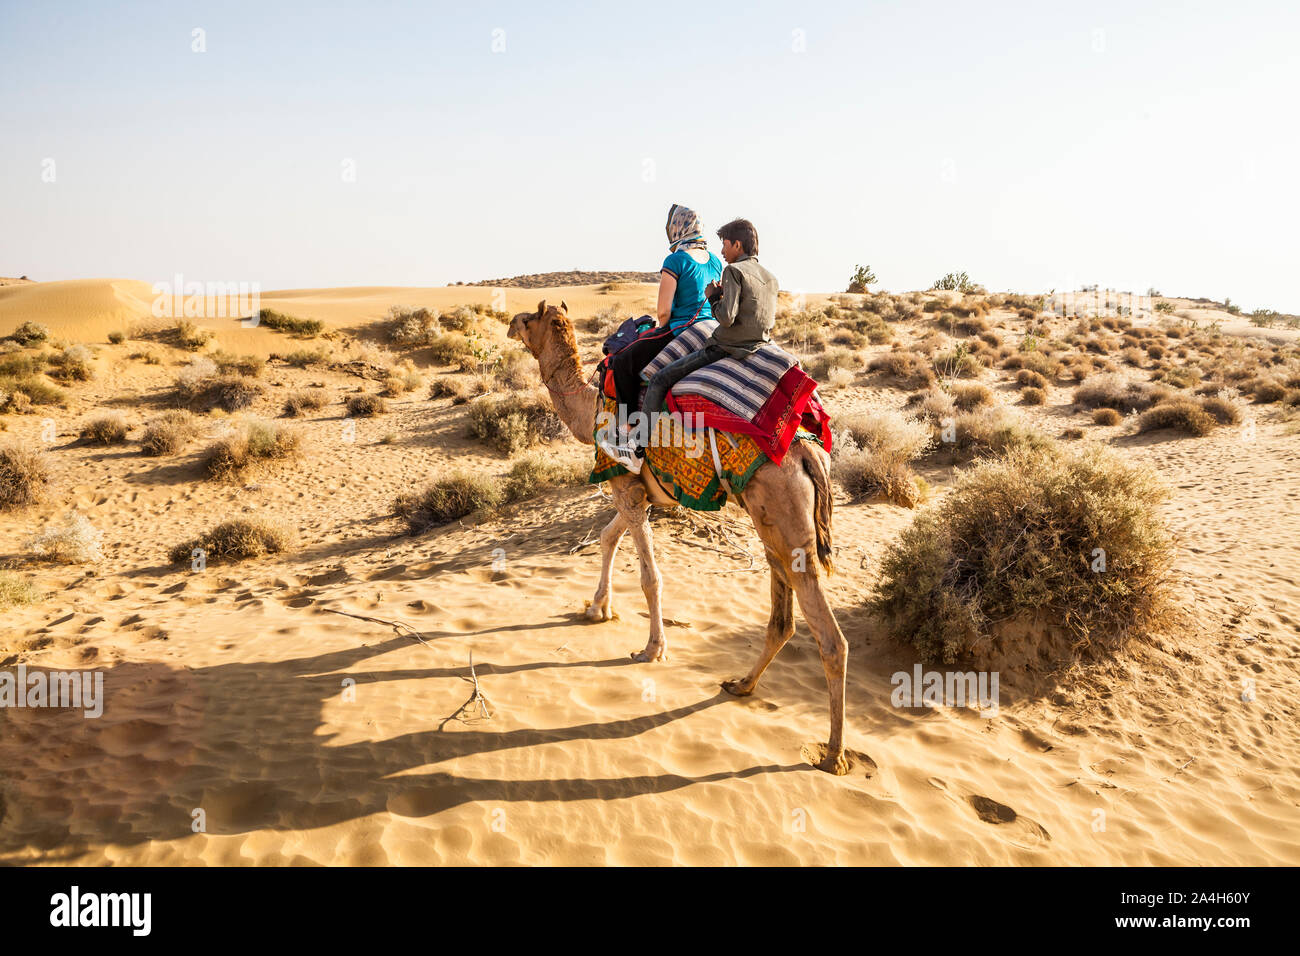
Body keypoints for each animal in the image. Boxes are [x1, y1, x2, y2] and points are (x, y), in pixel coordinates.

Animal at [506, 300, 852, 780]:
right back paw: (741, 685)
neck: (589, 409)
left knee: (831, 639)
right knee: (782, 617)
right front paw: (597, 609)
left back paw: (833, 754)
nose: (508, 325)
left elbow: (650, 577)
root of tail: (805, 452)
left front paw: (652, 650)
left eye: (527, 319)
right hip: (771, 524)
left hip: (786, 523)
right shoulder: (638, 490)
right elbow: (607, 537)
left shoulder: (626, 486)